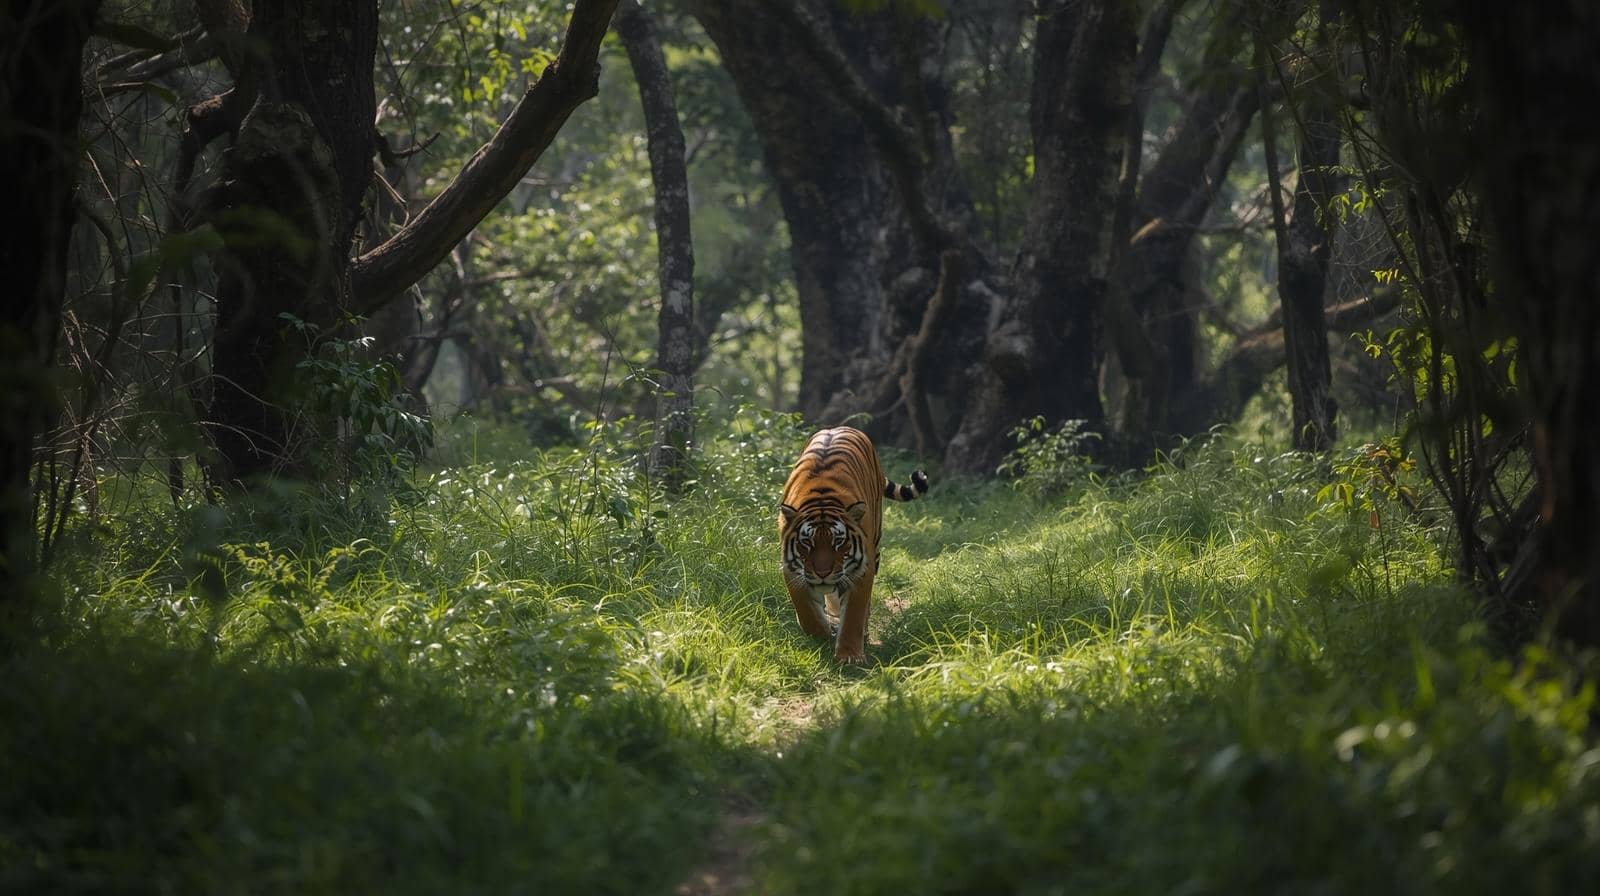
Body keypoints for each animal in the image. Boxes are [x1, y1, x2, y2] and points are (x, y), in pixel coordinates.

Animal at [779, 426, 929, 663]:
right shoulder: (792, 570)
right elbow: (806, 612)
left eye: (839, 542)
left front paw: (849, 656)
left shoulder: (860, 570)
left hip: (875, 547)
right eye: (807, 543)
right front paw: (823, 632)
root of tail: (840, 427)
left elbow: (853, 615)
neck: (821, 497)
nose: (822, 573)